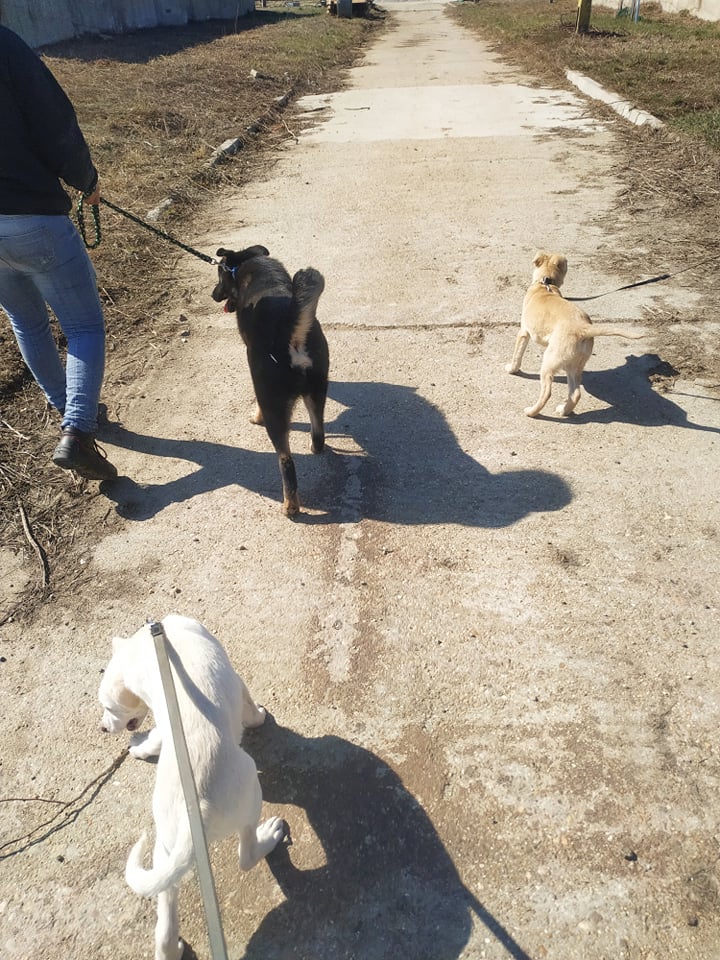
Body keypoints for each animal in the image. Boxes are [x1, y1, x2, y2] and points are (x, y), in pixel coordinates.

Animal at [98, 614, 284, 960]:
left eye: (110, 708)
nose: (102, 727)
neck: (147, 650)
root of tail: (195, 809)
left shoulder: (163, 720)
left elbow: (156, 737)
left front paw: (139, 748)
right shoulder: (238, 683)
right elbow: (250, 708)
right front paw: (260, 717)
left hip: (165, 850)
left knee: (165, 924)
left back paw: (172, 949)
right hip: (250, 791)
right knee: (246, 855)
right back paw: (269, 837)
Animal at [211, 244, 330, 517]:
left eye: (219, 277)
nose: (213, 295)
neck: (246, 262)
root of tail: (291, 336)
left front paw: (255, 416)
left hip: (274, 406)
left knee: (286, 461)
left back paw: (290, 506)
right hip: (317, 390)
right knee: (318, 431)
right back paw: (315, 447)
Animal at [506, 250, 644, 417]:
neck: (545, 284)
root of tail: (583, 328)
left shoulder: (523, 332)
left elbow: (517, 355)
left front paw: (512, 369)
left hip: (550, 361)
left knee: (547, 392)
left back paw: (532, 412)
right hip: (574, 365)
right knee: (576, 393)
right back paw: (564, 410)